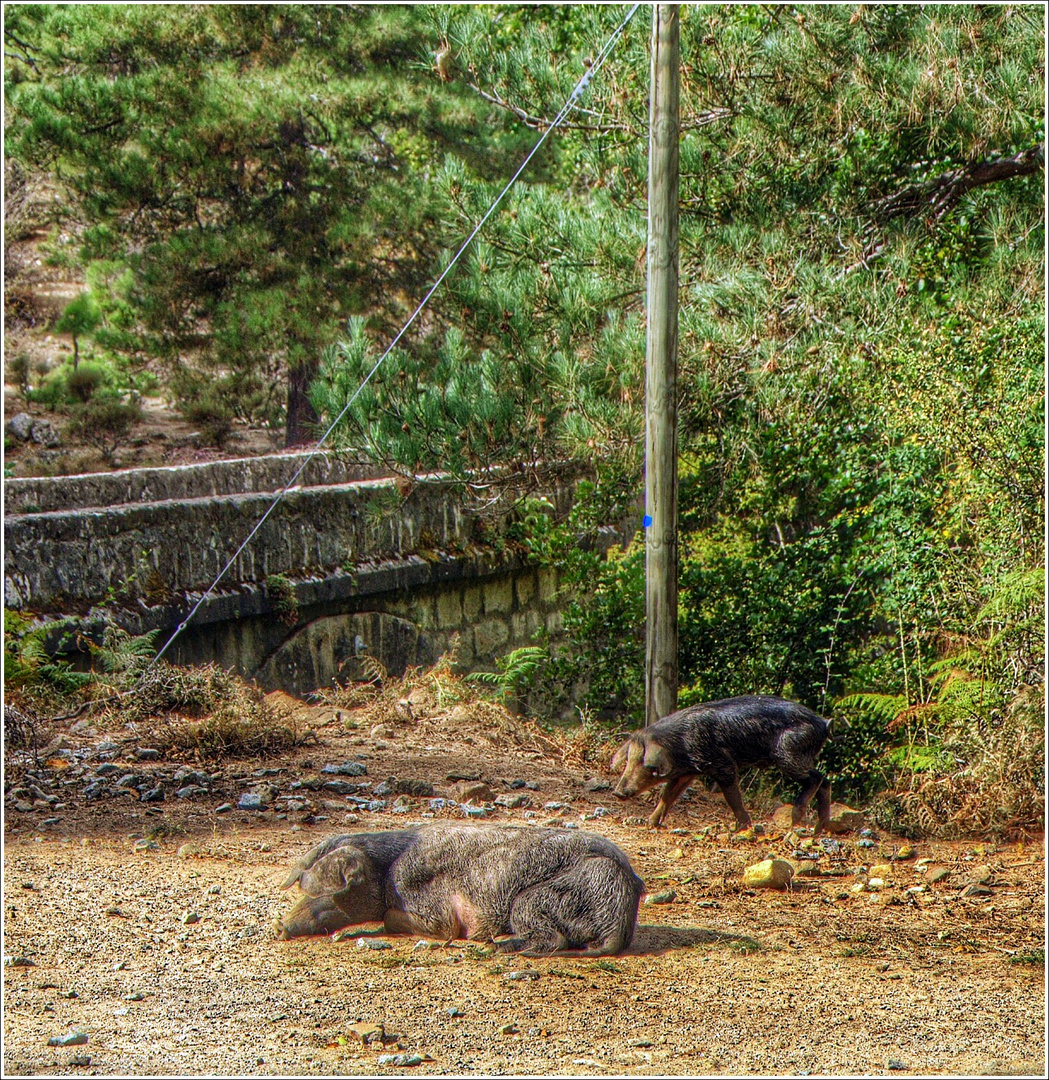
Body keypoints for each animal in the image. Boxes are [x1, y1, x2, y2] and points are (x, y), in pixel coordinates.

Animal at [609, 691, 834, 833]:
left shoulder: (721, 763)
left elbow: (732, 794)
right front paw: (650, 823)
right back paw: (819, 829)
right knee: (825, 782)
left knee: (817, 778)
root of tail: (823, 723)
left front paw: (741, 827)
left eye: (645, 765)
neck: (680, 744)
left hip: (788, 753)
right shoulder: (688, 772)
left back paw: (794, 820)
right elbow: (668, 795)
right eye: (628, 761)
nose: (617, 792)